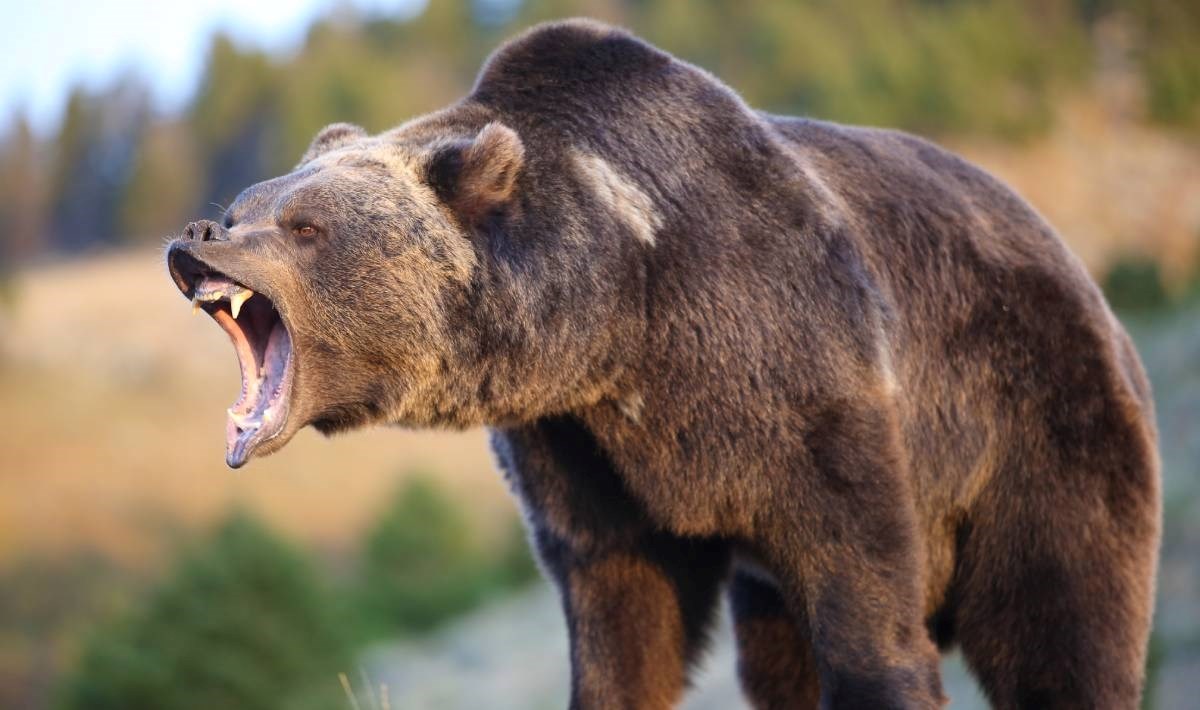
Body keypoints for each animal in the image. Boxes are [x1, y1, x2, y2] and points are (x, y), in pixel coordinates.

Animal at [169, 19, 1161, 710]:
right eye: (250, 202)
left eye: (305, 226)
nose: (198, 236)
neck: (620, 320)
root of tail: (1075, 264)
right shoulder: (583, 452)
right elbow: (624, 619)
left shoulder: (805, 379)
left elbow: (866, 603)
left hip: (1038, 427)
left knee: (1064, 626)